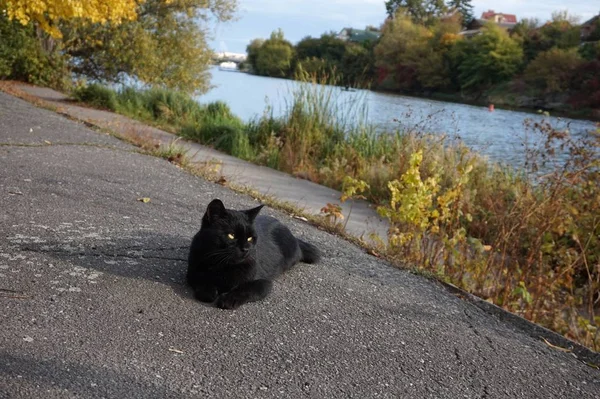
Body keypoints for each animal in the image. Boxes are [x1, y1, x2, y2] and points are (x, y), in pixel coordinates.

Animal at [188, 199, 322, 310]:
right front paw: (209, 291)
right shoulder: (193, 270)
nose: (246, 249)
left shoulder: (264, 283)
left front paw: (229, 299)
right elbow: (201, 280)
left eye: (250, 238)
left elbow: (246, 289)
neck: (224, 265)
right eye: (231, 235)